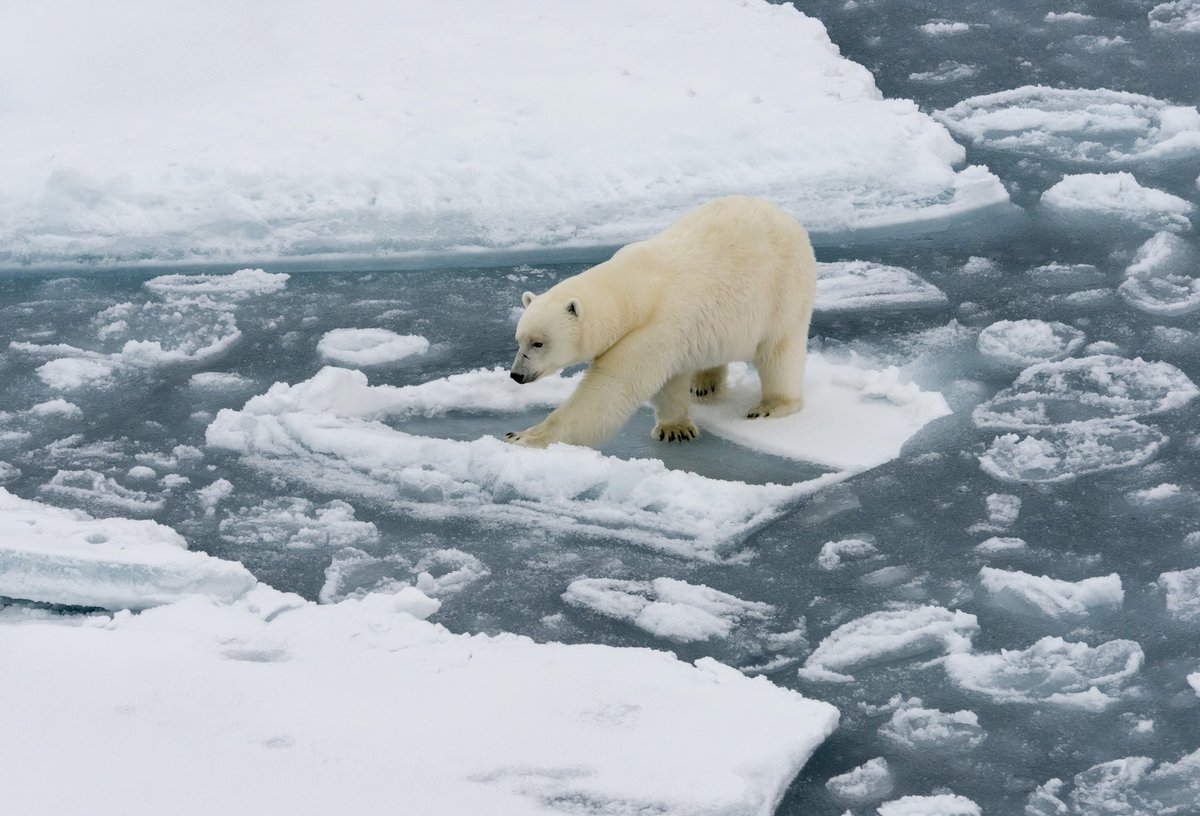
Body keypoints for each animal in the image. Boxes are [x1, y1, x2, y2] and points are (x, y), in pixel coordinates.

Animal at [501, 198, 820, 453]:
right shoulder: (669, 333)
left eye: (538, 342)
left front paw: (524, 436)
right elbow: (669, 381)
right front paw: (675, 428)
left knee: (780, 352)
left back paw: (770, 406)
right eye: (519, 340)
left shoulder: (657, 327)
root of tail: (786, 216)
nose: (516, 375)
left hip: (783, 292)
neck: (633, 289)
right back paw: (703, 384)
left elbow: (611, 389)